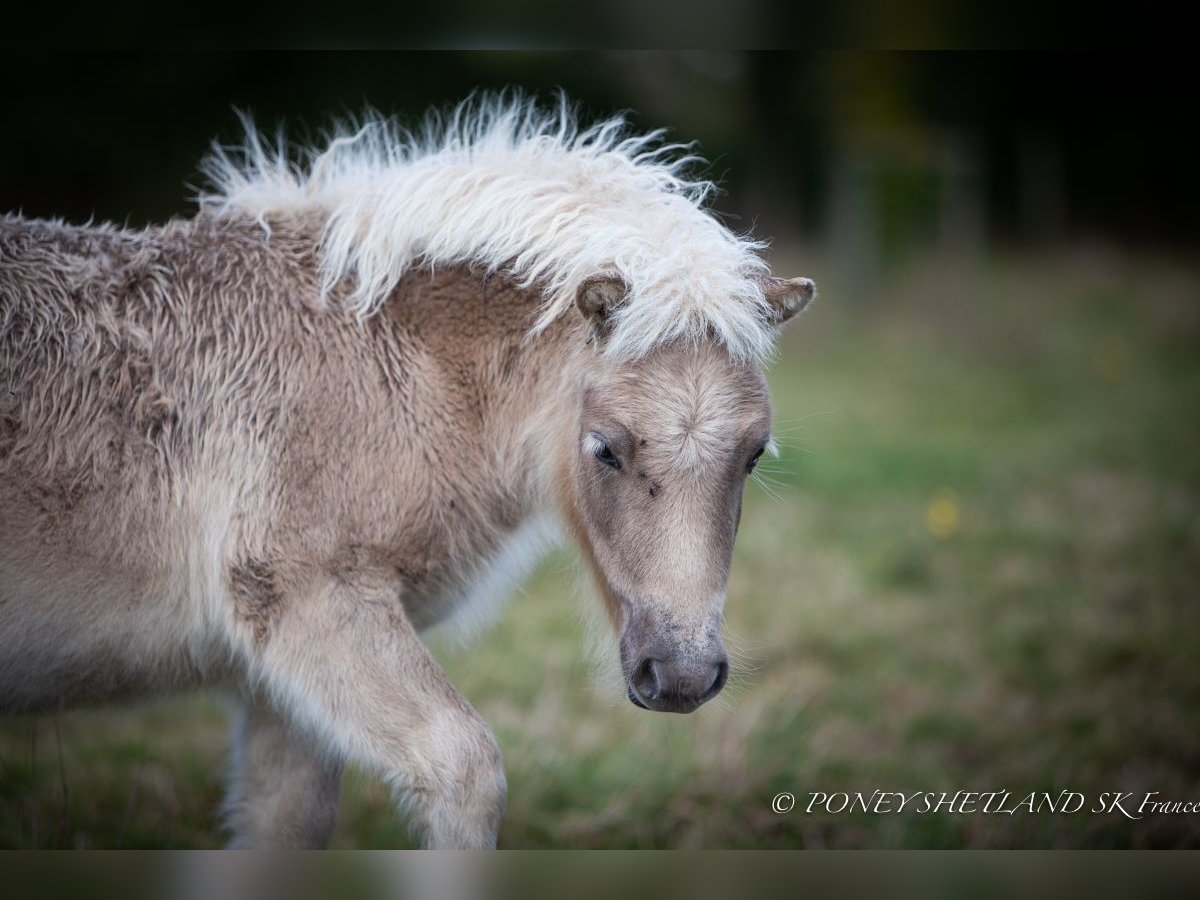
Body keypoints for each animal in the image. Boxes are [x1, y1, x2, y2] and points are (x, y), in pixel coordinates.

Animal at [0, 98, 811, 854]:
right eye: (605, 448)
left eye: (753, 454)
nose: (680, 677)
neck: (370, 353)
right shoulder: (317, 604)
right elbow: (464, 770)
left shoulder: (277, 686)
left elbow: (286, 825)